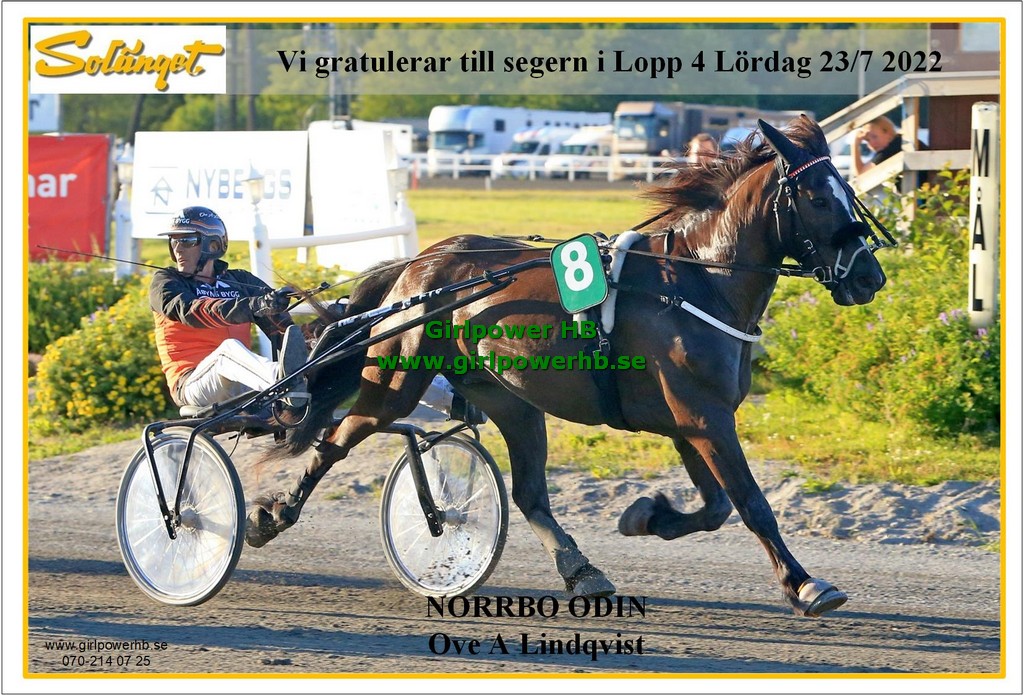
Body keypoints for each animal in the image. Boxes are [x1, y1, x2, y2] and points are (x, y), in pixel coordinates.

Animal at [248, 115, 890, 617]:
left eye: (847, 190)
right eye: (818, 198)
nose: (869, 277)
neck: (698, 282)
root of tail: (418, 263)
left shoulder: (691, 423)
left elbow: (715, 507)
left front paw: (646, 516)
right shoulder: (704, 418)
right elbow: (752, 505)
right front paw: (806, 584)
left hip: (510, 400)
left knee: (530, 493)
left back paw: (581, 569)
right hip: (395, 382)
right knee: (335, 440)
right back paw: (271, 515)